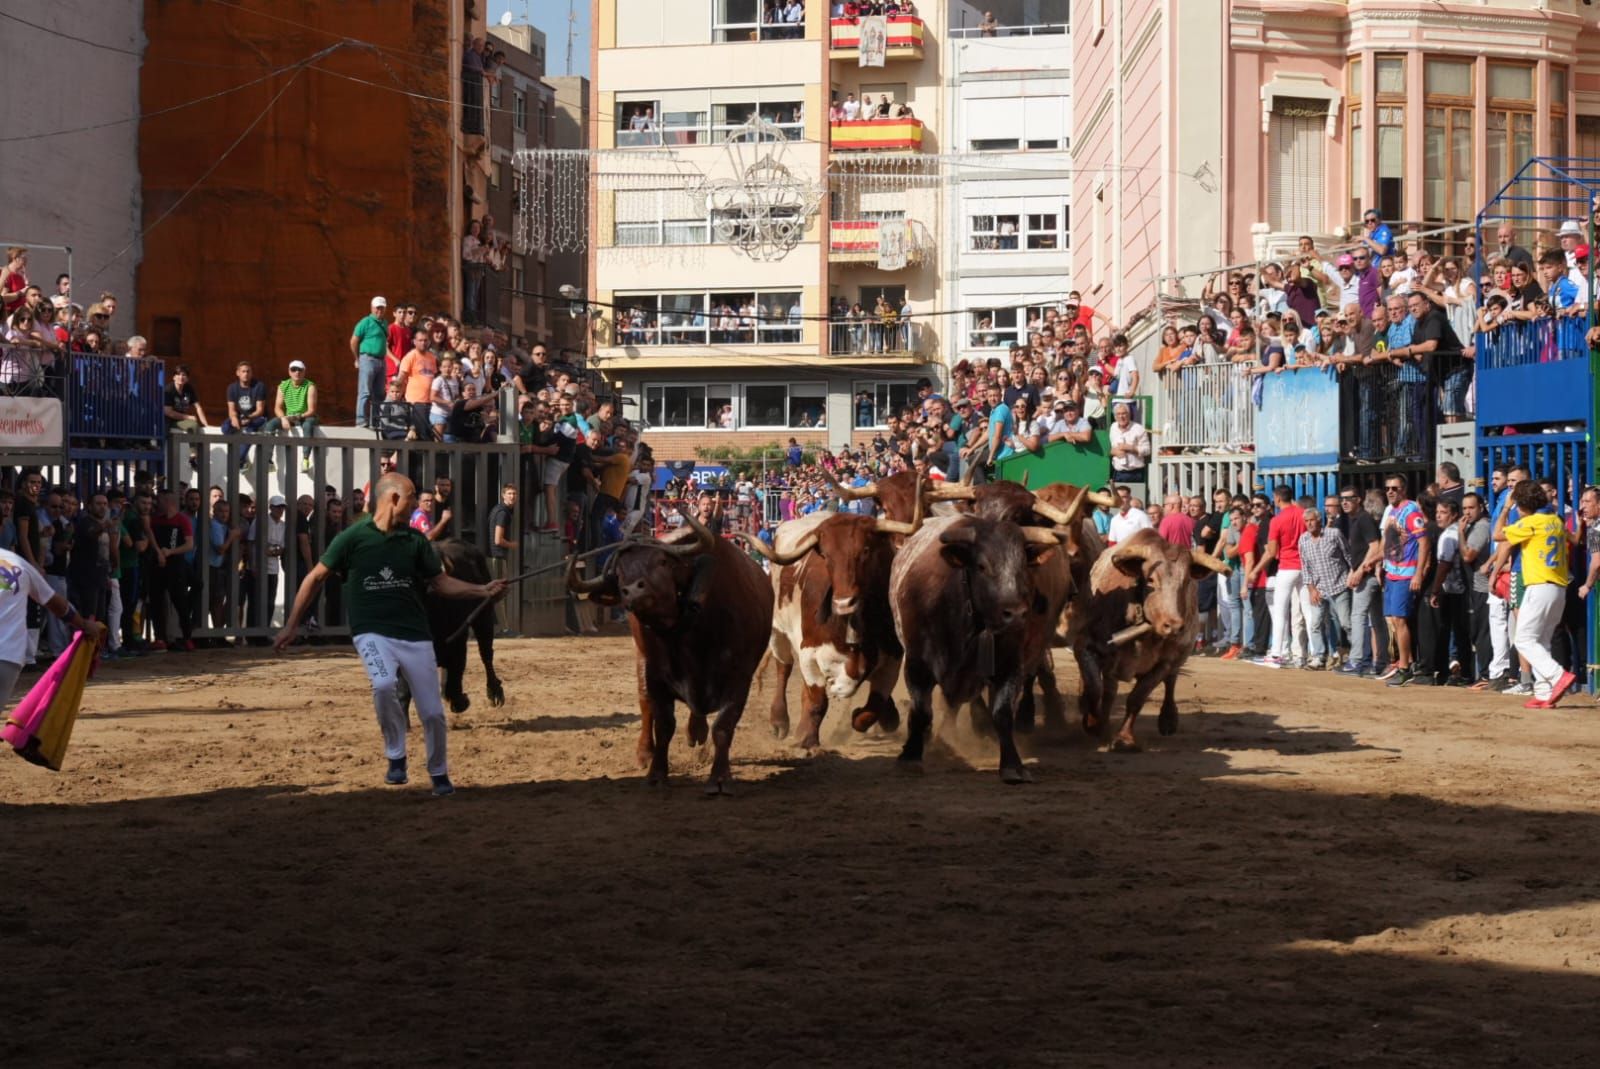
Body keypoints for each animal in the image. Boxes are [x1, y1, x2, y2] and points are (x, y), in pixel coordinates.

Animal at [569, 508, 774, 793]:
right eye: (619, 573)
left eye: (663, 562)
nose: (632, 590)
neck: (691, 634)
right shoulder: (656, 676)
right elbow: (664, 724)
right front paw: (656, 773)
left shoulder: (739, 679)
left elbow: (723, 727)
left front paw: (720, 778)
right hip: (641, 659)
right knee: (645, 705)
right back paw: (645, 753)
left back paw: (696, 732)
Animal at [896, 512, 1068, 780]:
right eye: (982, 566)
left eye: (1023, 568)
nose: (1016, 614)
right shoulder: (916, 664)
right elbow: (921, 711)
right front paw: (911, 755)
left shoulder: (1009, 665)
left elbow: (1002, 713)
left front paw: (1012, 765)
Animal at [1068, 528, 1228, 752]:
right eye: (1151, 580)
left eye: (1186, 581)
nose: (1174, 626)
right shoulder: (1085, 646)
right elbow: (1094, 687)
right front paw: (1092, 721)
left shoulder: (1164, 663)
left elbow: (1137, 697)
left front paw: (1125, 738)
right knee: (1107, 690)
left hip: (1178, 656)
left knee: (1170, 681)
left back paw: (1168, 719)